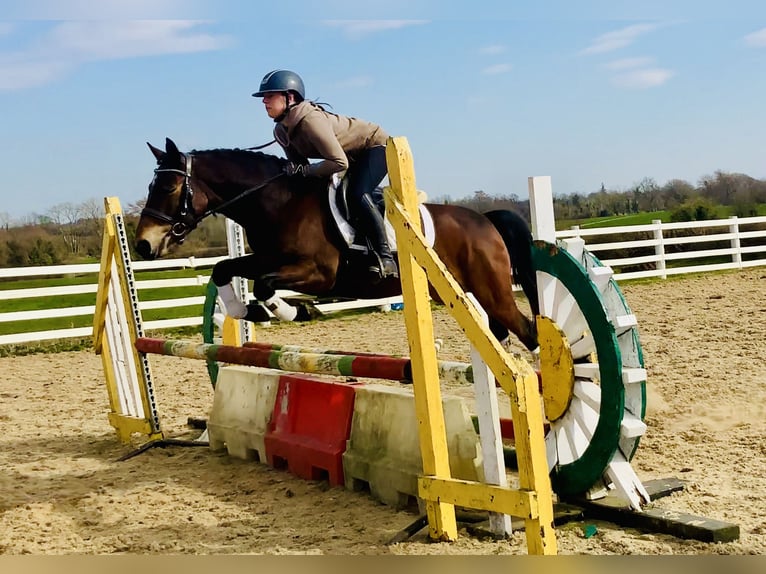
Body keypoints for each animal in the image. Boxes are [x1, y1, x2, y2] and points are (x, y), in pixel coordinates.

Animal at [135, 137, 544, 352]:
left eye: (168, 187)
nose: (142, 246)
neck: (277, 202)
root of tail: (485, 220)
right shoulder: (265, 258)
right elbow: (225, 269)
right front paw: (245, 311)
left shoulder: (317, 274)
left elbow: (265, 285)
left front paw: (295, 311)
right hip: (461, 293)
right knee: (500, 334)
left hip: (491, 291)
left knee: (527, 330)